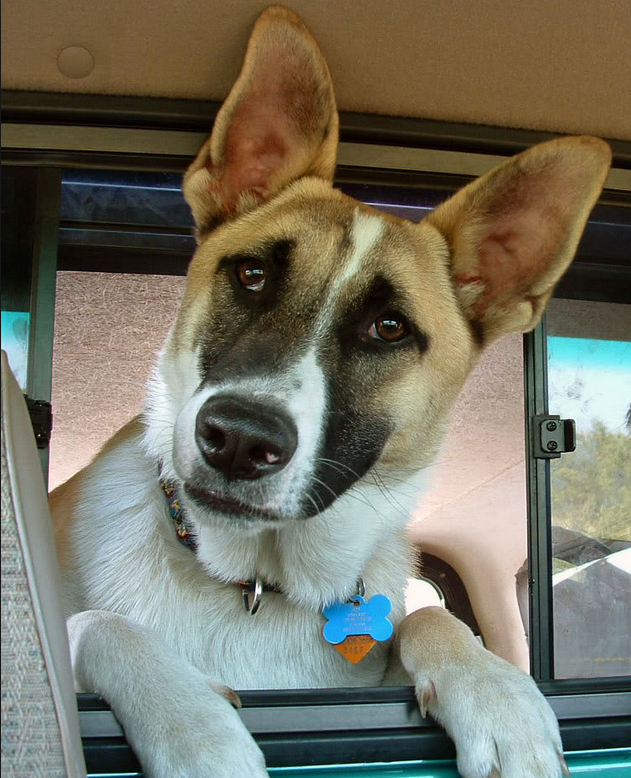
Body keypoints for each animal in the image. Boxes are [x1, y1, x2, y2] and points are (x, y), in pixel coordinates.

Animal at [49, 6, 612, 776]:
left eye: (389, 328)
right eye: (252, 274)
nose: (238, 439)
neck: (255, 584)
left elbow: (431, 614)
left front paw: (500, 697)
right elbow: (96, 624)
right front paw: (194, 729)